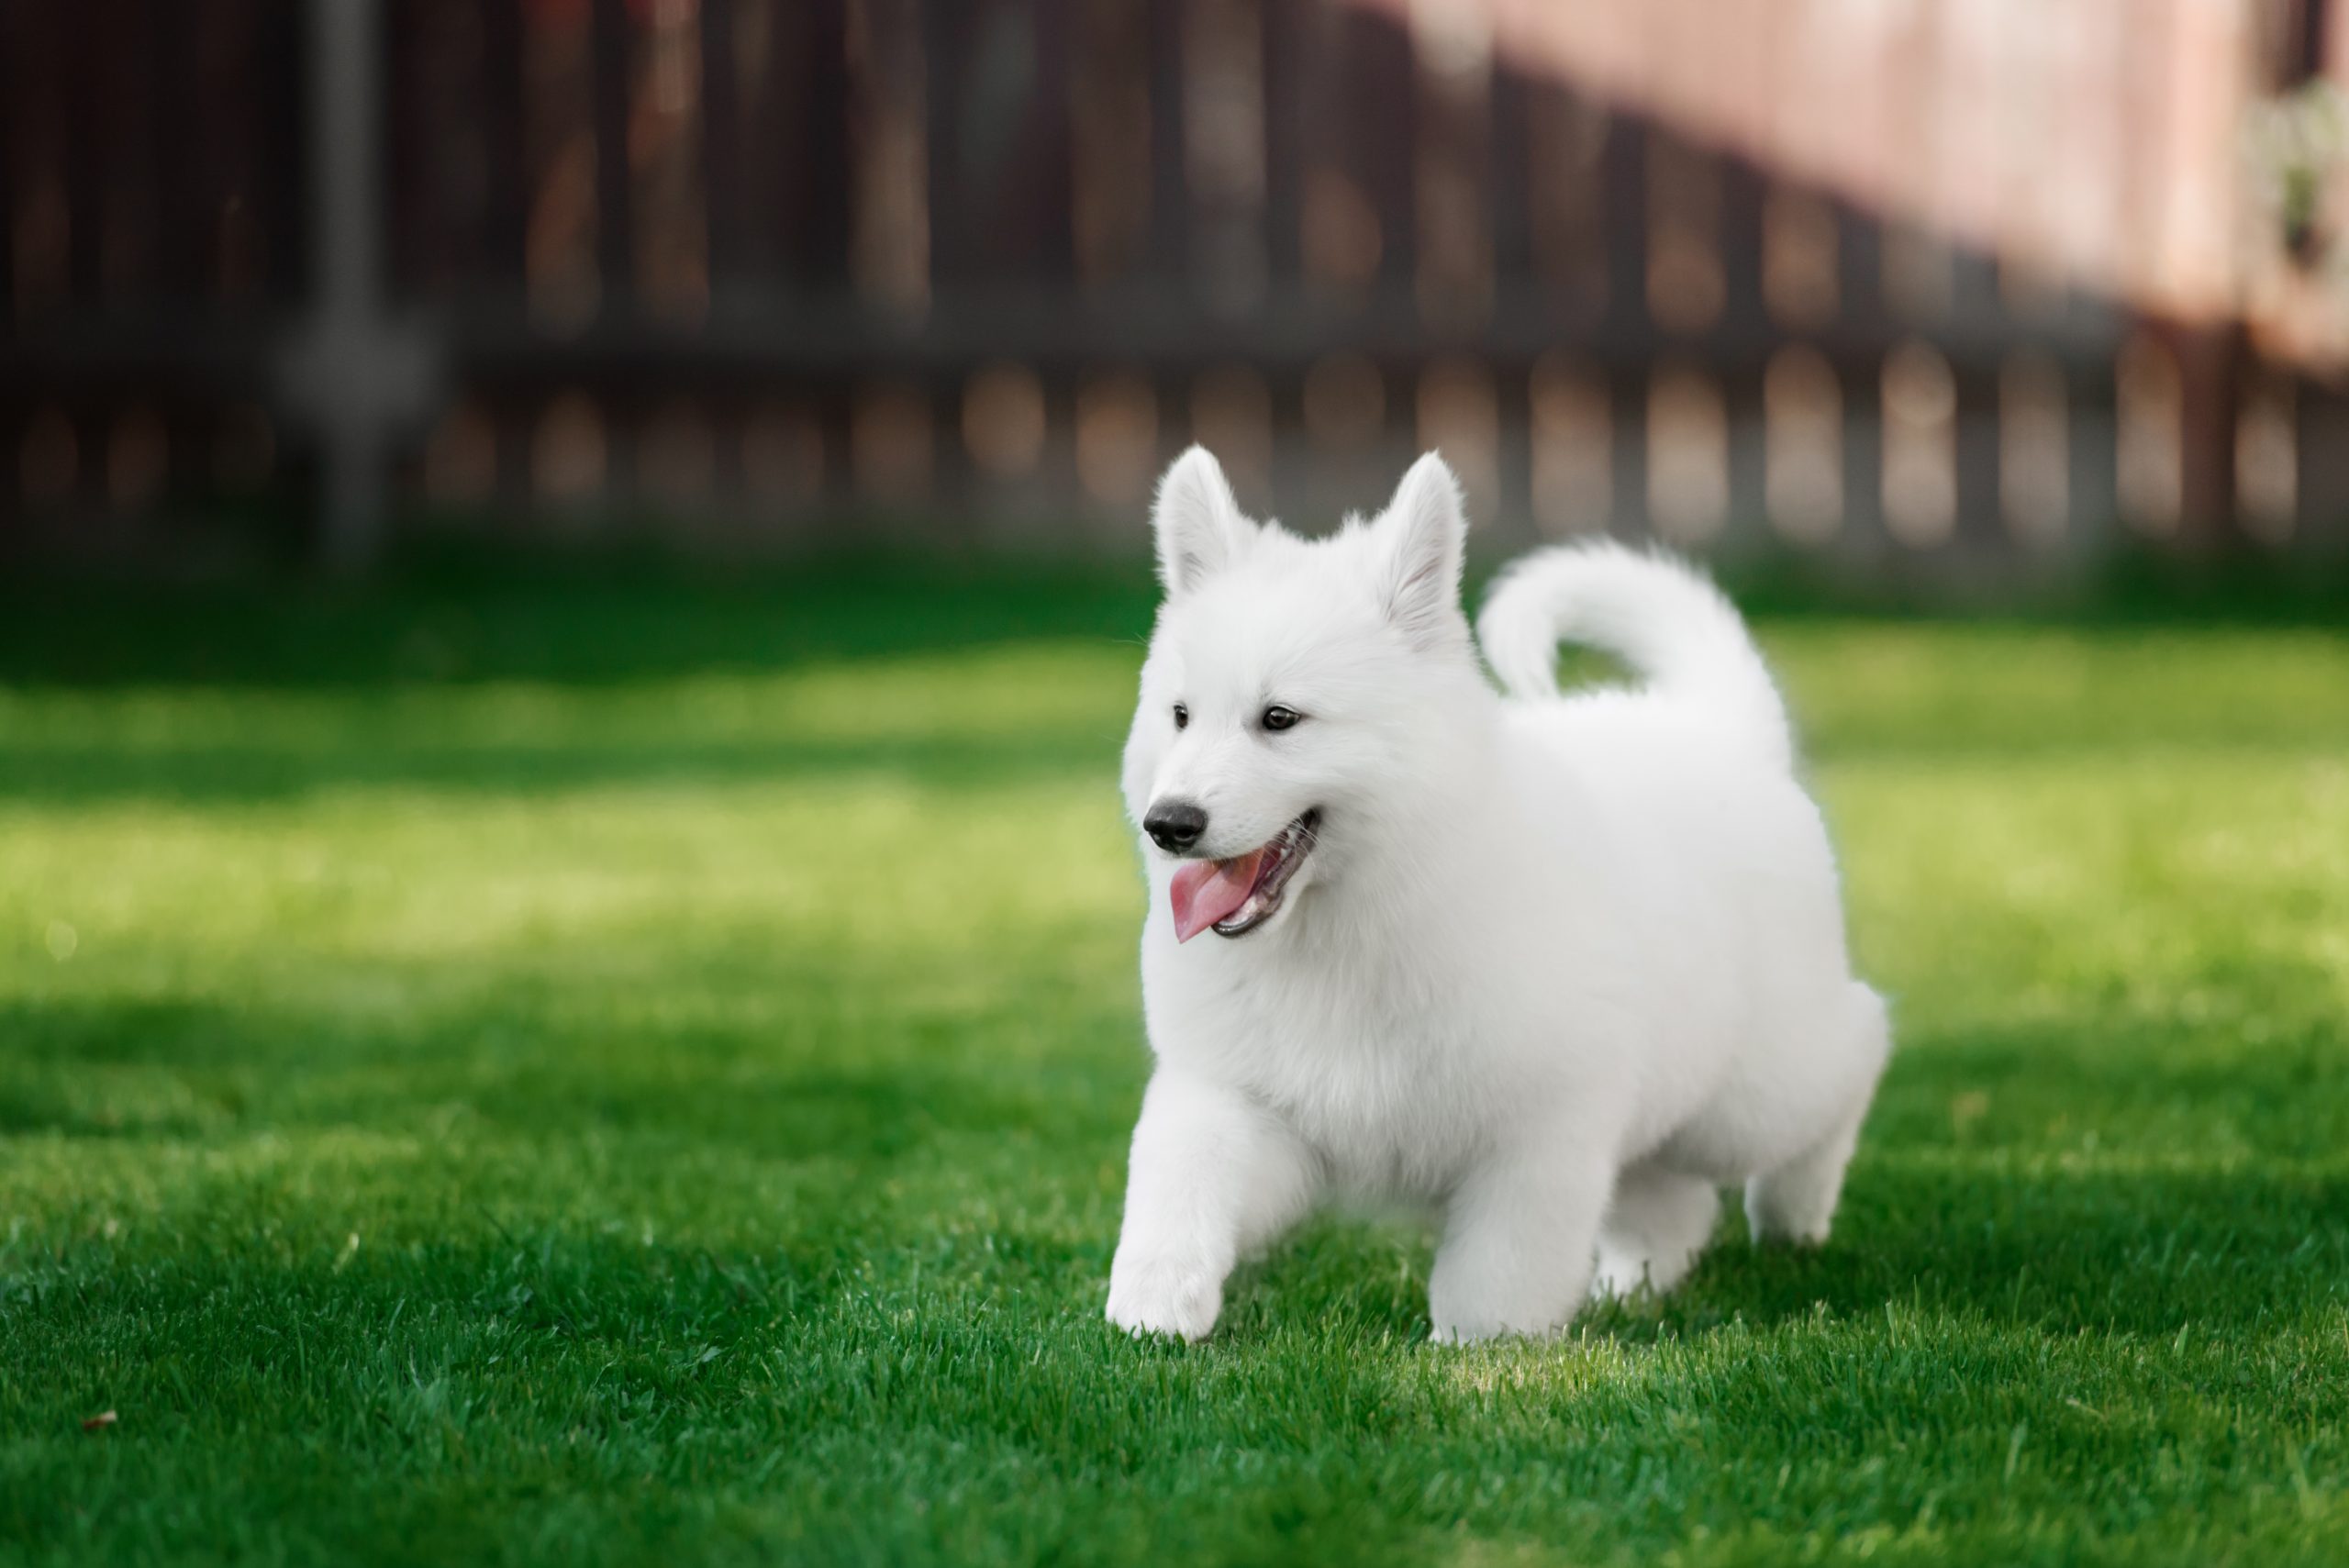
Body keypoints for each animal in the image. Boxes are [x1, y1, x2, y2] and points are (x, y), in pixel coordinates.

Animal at [1104, 446, 1888, 1342]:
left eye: (1279, 718)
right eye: (1180, 715)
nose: (1169, 823)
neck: (1348, 931)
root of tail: (1723, 728)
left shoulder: (1538, 1136)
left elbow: (1498, 1268)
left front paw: (1481, 1350)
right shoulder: (1239, 1098)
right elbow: (1178, 1179)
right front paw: (1155, 1305)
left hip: (1753, 1091)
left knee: (1859, 1046)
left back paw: (1795, 1215)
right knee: (1669, 1195)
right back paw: (1636, 1283)